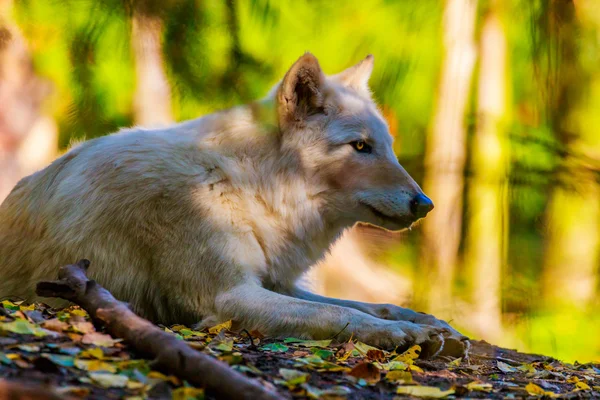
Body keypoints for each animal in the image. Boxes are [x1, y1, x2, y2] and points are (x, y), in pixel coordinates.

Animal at [0, 53, 468, 356]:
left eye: (386, 146)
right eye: (360, 146)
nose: (425, 203)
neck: (246, 184)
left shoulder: (273, 281)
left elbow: (365, 304)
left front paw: (431, 324)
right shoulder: (230, 296)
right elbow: (337, 315)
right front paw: (404, 333)